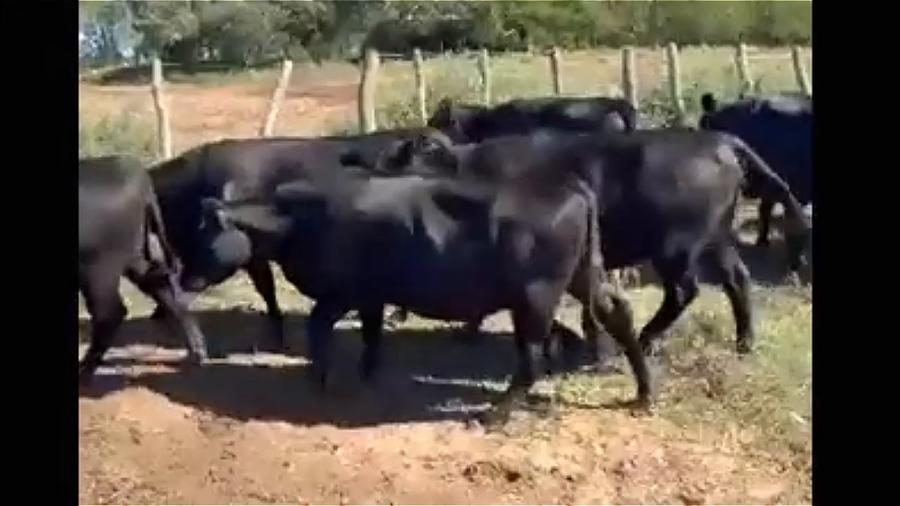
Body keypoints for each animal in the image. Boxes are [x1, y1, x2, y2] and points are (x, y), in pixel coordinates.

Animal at [78, 155, 208, 384]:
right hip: (139, 257)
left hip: (97, 270)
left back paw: (84, 371)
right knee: (166, 293)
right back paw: (197, 352)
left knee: (110, 313)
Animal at [178, 167, 654, 426]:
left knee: (532, 359)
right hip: (584, 277)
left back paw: (495, 414)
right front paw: (367, 373)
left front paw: (319, 378)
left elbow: (318, 327)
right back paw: (645, 392)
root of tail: (568, 184)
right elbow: (371, 335)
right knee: (619, 314)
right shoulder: (371, 295)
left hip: (535, 297)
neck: (300, 217)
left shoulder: (342, 292)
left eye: (205, 236)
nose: (183, 277)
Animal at [371, 128, 812, 359]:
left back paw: (645, 339)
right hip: (716, 239)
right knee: (738, 279)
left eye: (400, 158)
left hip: (677, 248)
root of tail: (720, 141)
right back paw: (744, 342)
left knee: (685, 291)